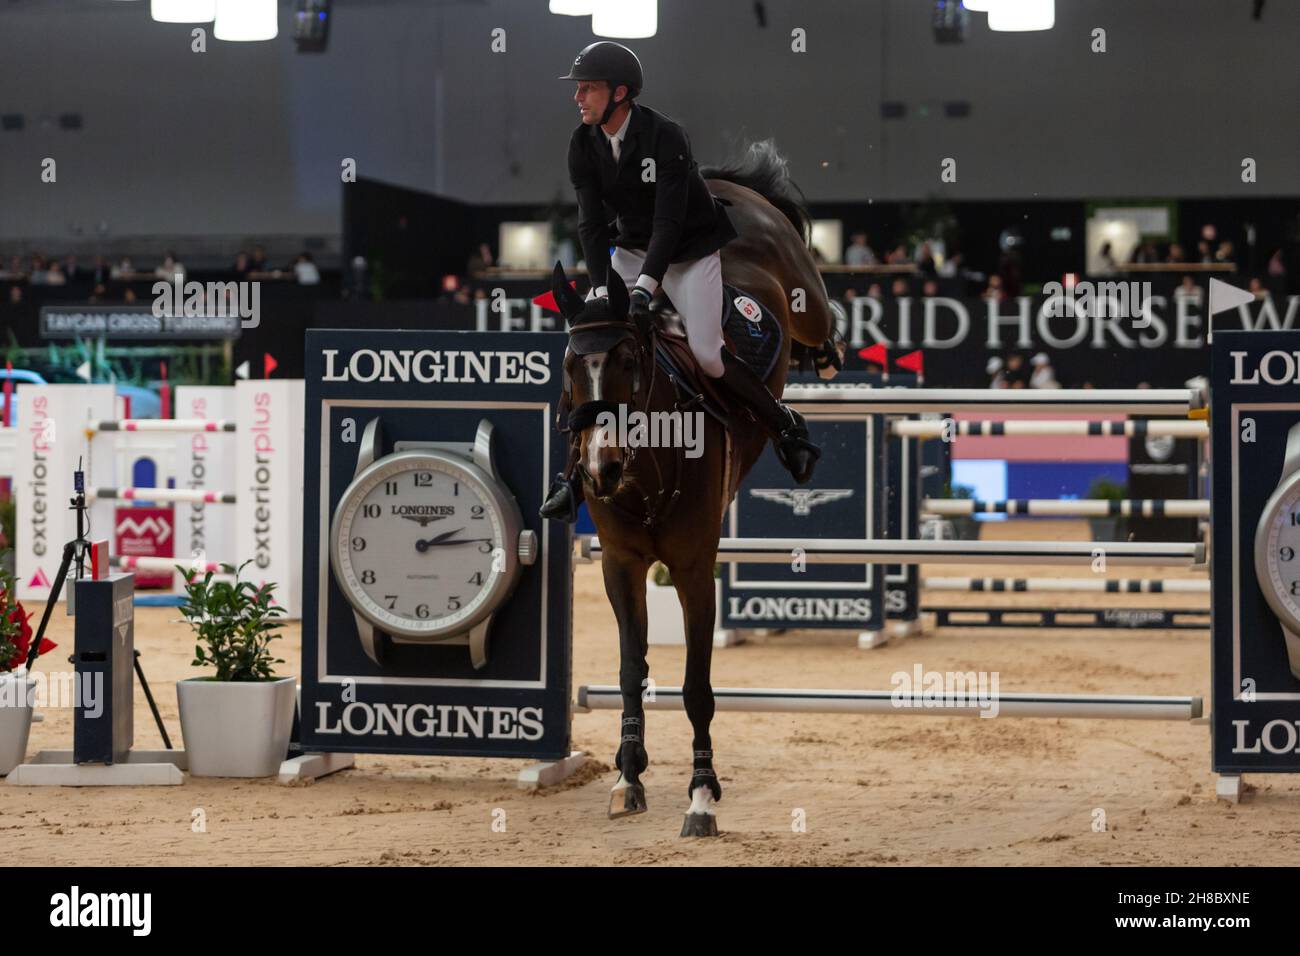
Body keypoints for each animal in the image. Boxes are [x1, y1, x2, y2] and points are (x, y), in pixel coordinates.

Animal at [546, 138, 832, 832]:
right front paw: (628, 776)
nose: (599, 470)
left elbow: (698, 686)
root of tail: (722, 185)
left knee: (819, 319)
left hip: (801, 289)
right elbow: (631, 669)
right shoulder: (621, 563)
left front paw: (702, 793)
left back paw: (815, 390)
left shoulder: (696, 568)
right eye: (569, 367)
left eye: (629, 360)